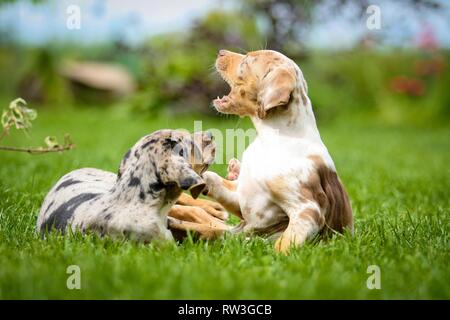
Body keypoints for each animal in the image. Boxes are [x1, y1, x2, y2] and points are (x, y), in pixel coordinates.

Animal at [202, 49, 354, 252]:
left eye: (248, 60)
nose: (221, 52)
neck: (270, 139)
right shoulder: (241, 195)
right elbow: (213, 179)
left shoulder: (307, 210)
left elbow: (285, 242)